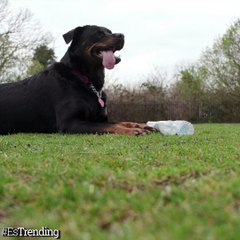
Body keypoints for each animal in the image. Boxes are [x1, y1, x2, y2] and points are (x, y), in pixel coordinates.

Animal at [0, 25, 153, 136]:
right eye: (98, 33)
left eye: (109, 31)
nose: (121, 35)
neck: (84, 78)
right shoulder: (71, 123)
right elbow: (108, 125)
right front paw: (133, 130)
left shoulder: (99, 118)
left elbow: (118, 121)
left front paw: (138, 124)